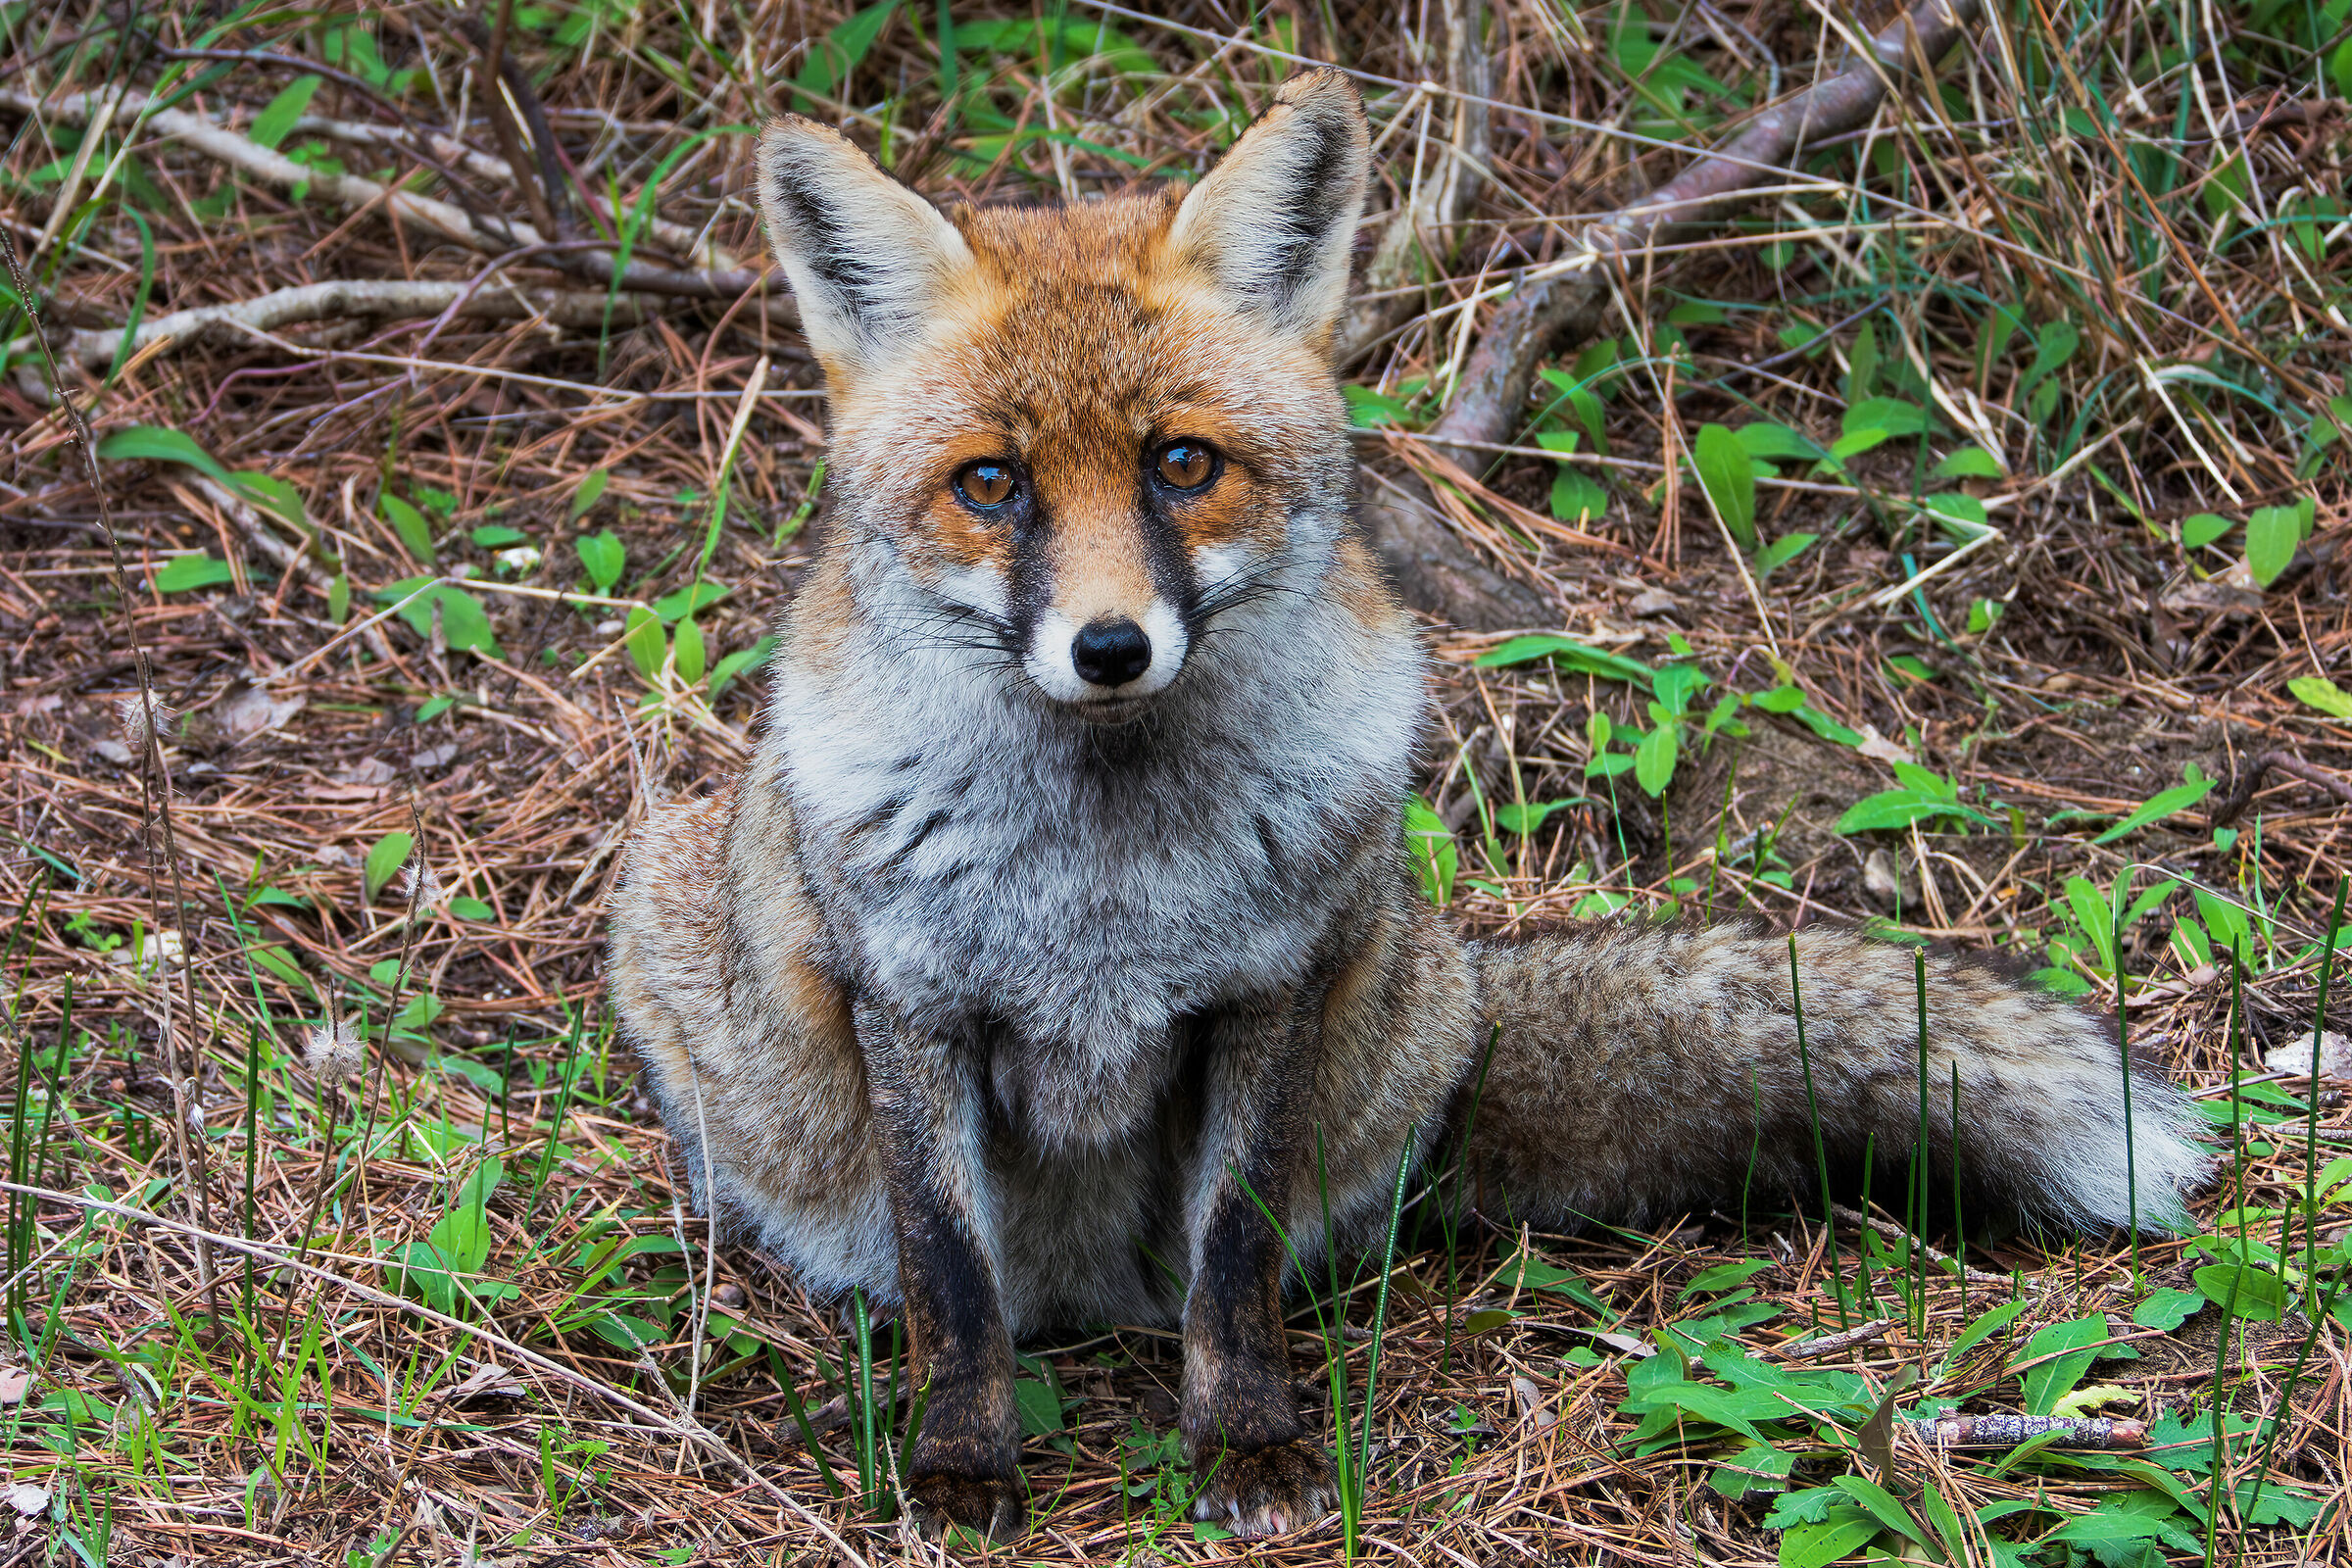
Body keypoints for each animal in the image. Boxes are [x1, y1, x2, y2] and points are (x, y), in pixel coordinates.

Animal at [605, 68, 2209, 1542]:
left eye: (1181, 463)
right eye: (990, 484)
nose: (1110, 647)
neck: (1104, 885)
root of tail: (1091, 1296)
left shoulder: (1266, 987)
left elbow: (1237, 1259)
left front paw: (1250, 1442)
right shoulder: (911, 1003)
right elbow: (952, 1279)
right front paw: (957, 1462)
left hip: (1395, 1006)